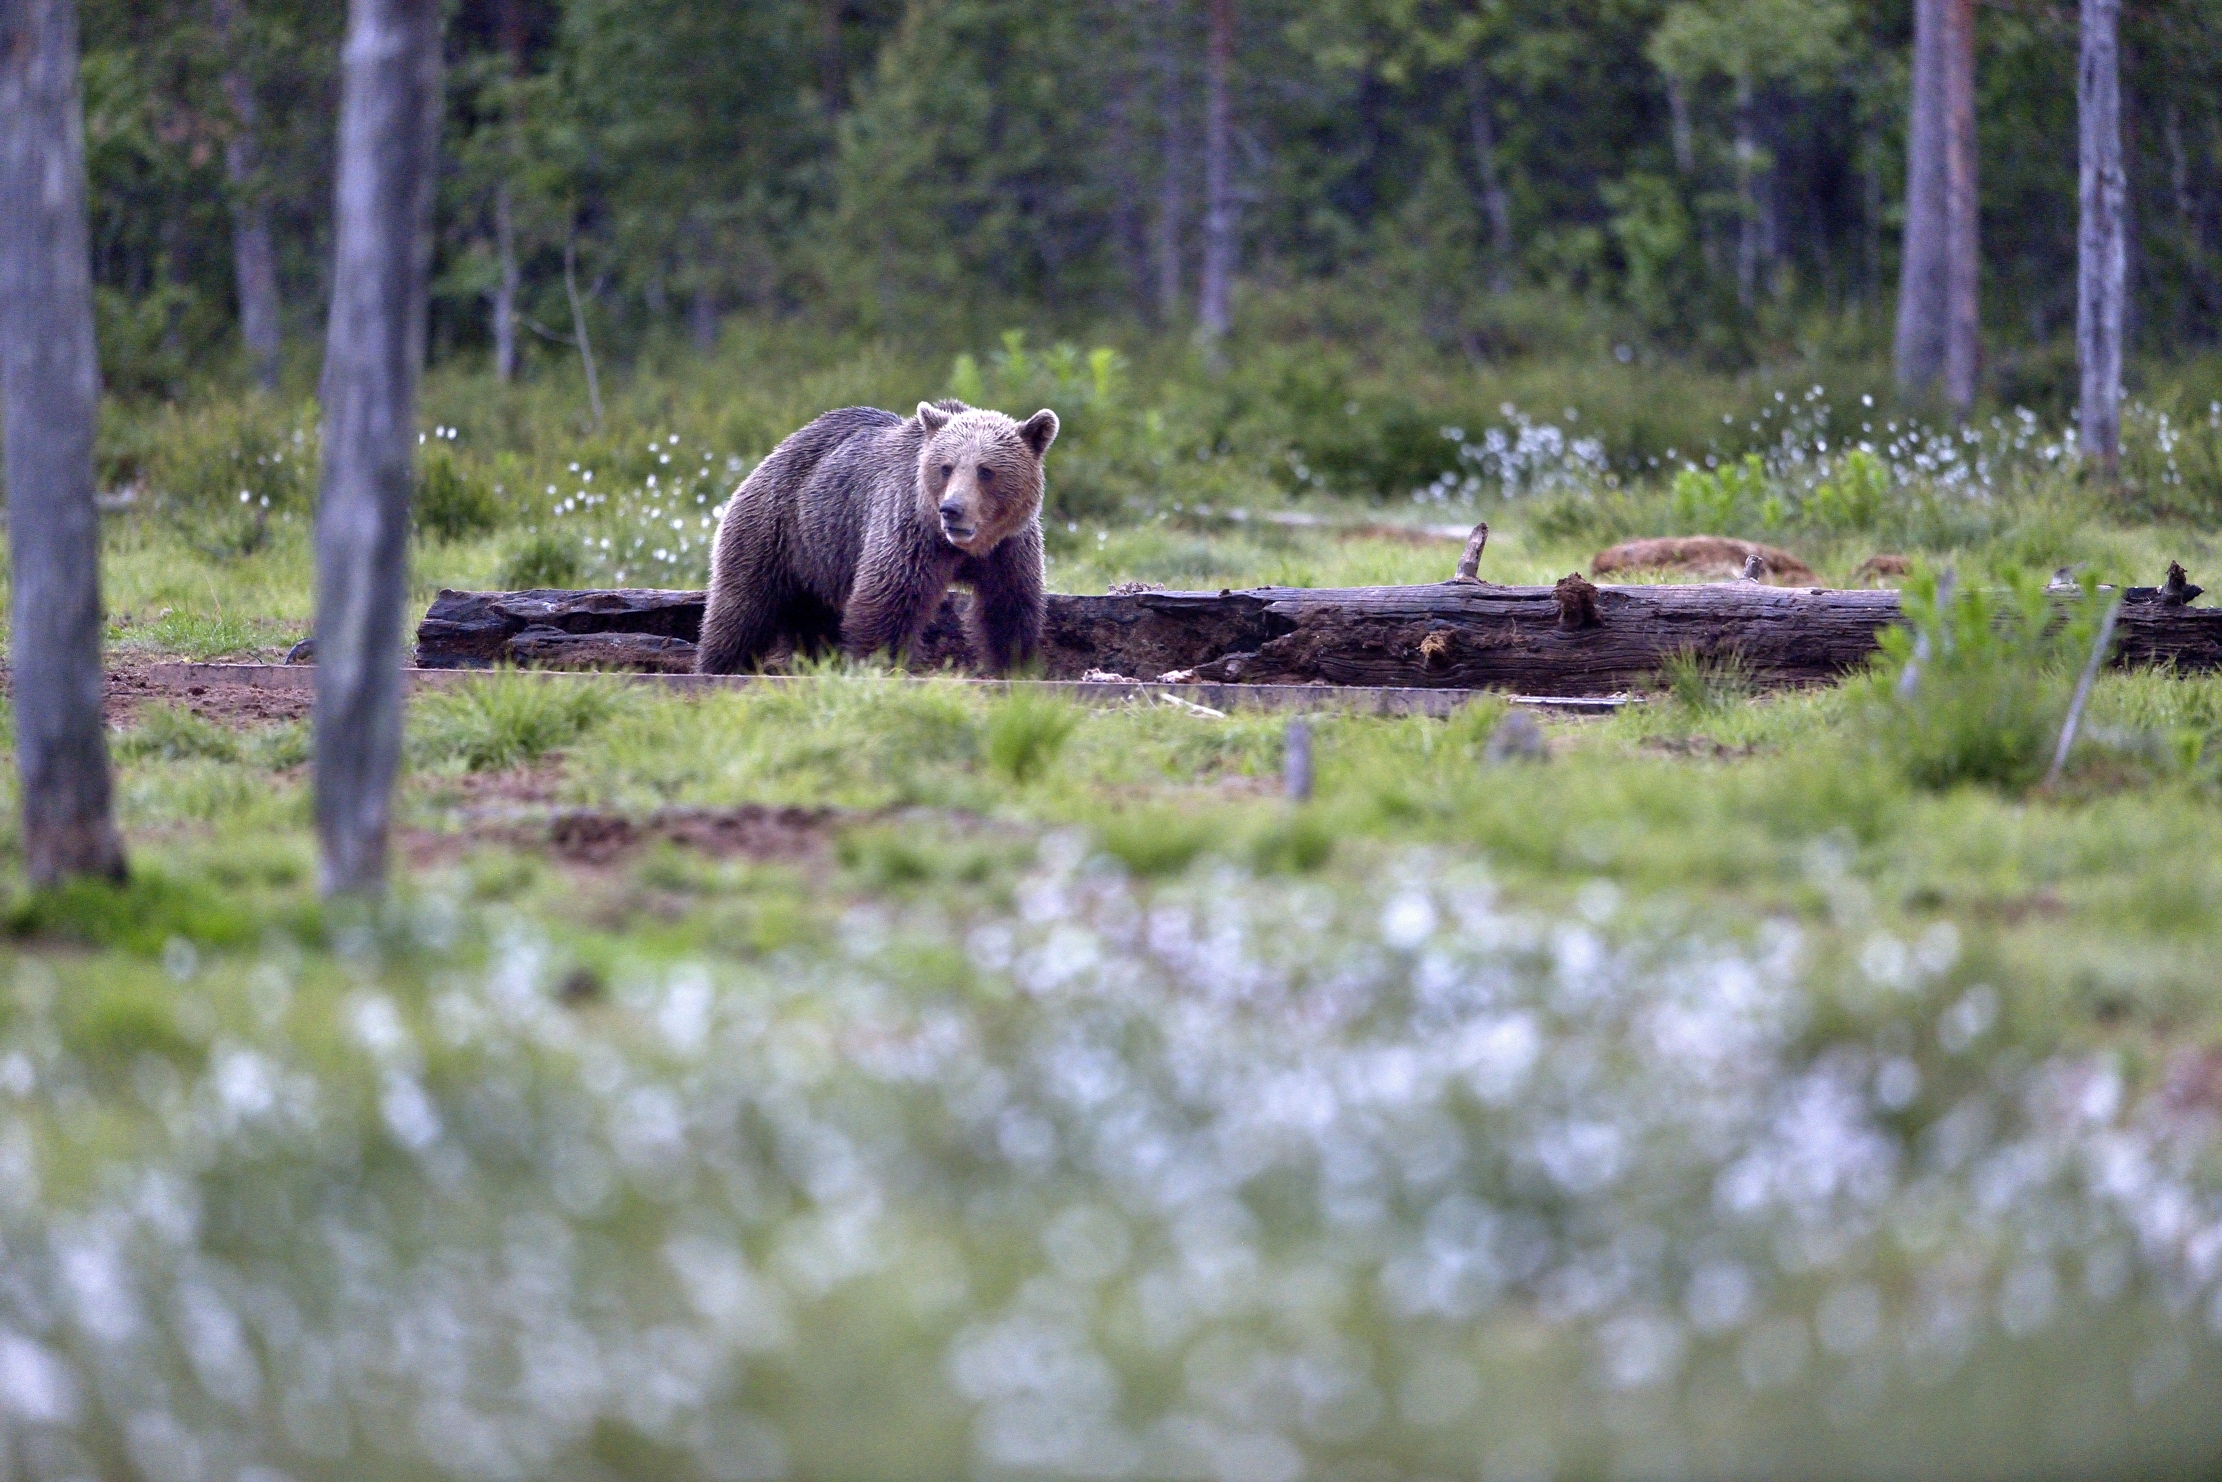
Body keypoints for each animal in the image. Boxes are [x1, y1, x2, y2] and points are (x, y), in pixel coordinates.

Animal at [694, 399, 1059, 675]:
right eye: (946, 467)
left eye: (986, 470)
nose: (952, 510)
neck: (961, 549)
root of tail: (771, 455)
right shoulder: (908, 529)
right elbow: (888, 601)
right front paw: (882, 664)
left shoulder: (1009, 548)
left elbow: (1009, 606)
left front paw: (1016, 666)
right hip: (775, 529)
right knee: (741, 608)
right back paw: (718, 666)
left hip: (818, 558)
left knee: (813, 618)